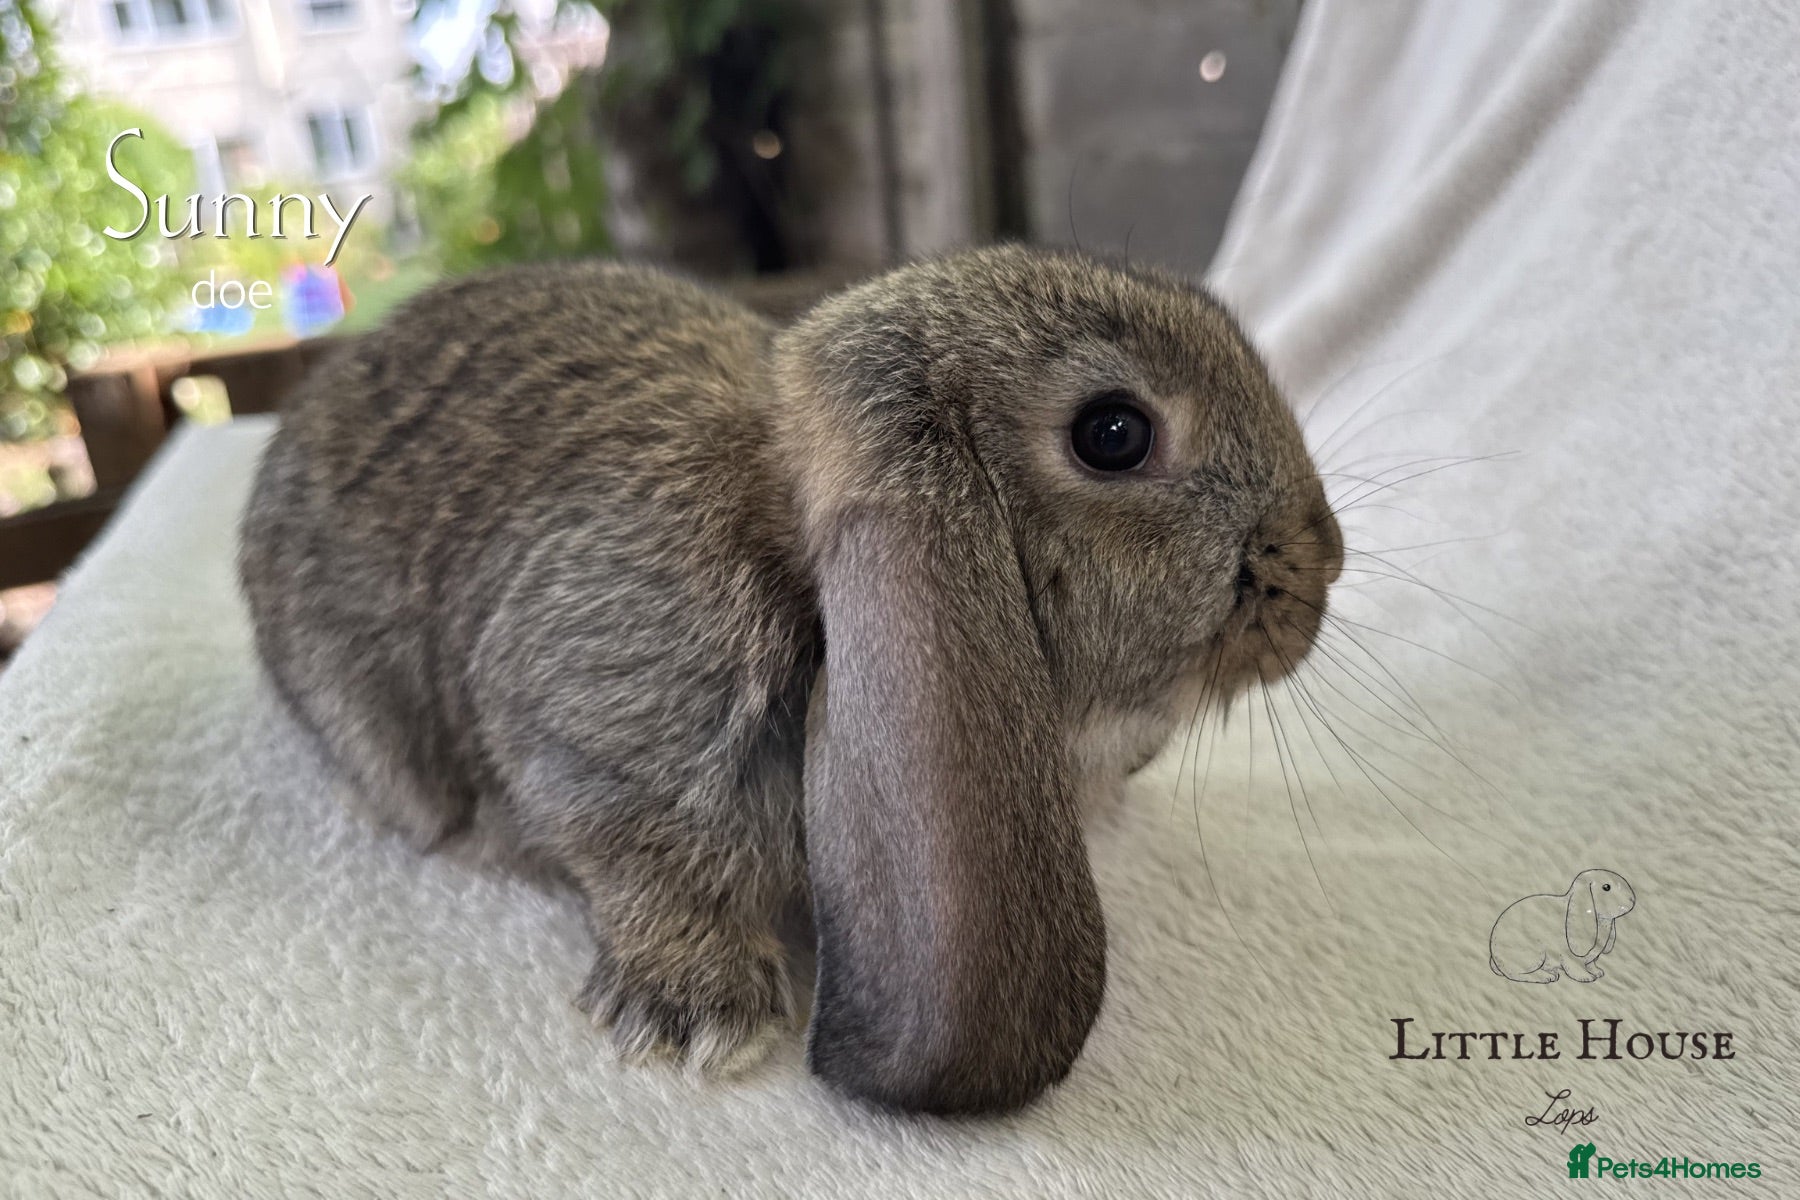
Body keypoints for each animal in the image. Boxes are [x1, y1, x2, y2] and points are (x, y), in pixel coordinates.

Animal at [1489, 869, 1636, 984]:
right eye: (1606, 887)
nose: (1632, 900)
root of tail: (1494, 957)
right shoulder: (1568, 956)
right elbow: (1574, 967)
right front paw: (1587, 977)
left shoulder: (1591, 959)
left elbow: (1591, 964)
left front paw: (1598, 972)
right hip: (1533, 955)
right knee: (1515, 973)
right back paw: (1546, 977)